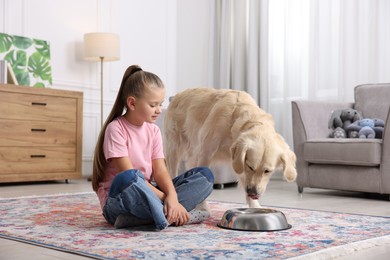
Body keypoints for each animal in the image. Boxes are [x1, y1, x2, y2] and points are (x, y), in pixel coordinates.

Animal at [163, 88, 298, 208]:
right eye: (250, 166)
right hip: (174, 147)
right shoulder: (205, 153)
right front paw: (202, 206)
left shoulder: (239, 161)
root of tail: (178, 95)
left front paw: (255, 206)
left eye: (267, 171)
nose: (253, 192)